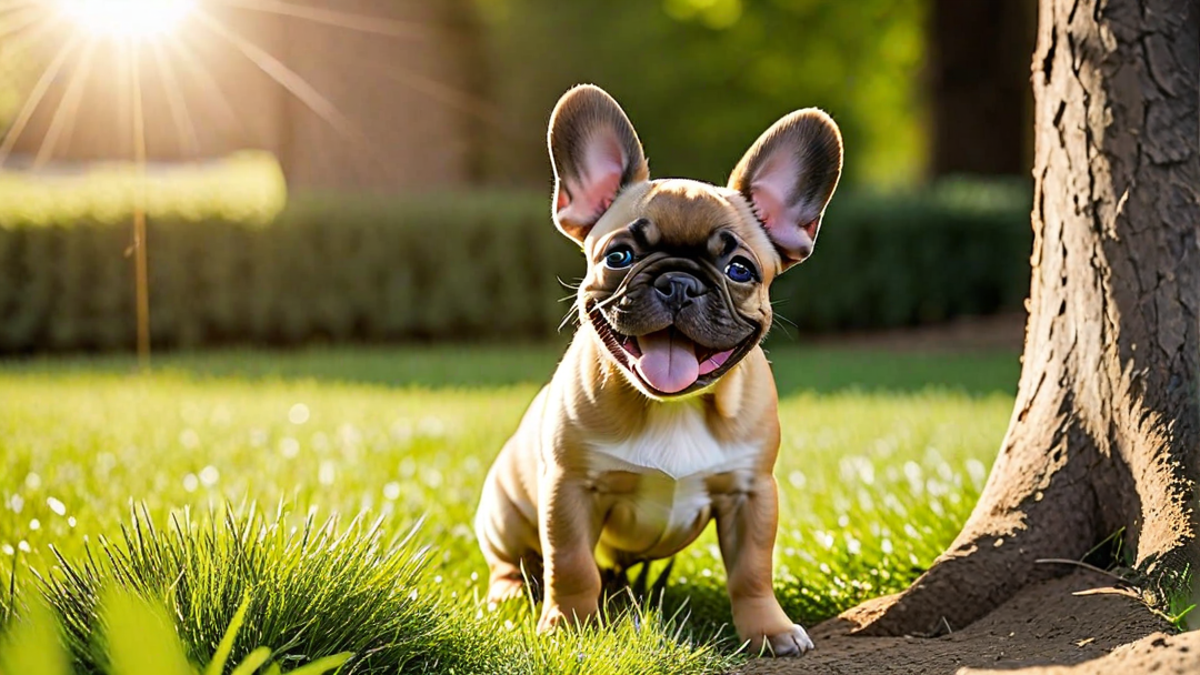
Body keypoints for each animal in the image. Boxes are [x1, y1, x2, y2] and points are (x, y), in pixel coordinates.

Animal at [472, 82, 840, 653]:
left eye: (740, 269)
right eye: (619, 257)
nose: (679, 283)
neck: (675, 407)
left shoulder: (751, 493)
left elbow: (752, 571)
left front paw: (769, 630)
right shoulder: (570, 489)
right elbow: (570, 564)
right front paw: (569, 626)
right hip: (503, 511)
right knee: (512, 562)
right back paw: (511, 595)